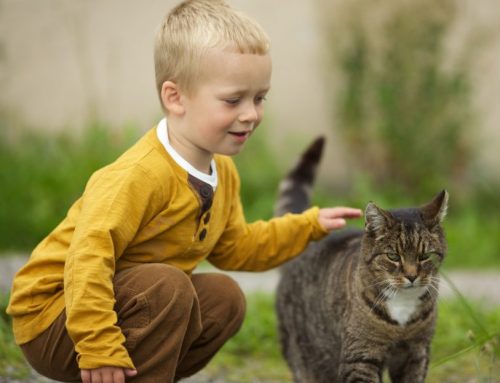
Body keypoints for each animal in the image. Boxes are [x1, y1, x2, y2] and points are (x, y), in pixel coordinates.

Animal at [276, 136, 448, 382]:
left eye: (425, 255)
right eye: (393, 256)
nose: (412, 276)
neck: (403, 306)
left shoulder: (416, 353)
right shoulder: (361, 356)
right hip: (307, 357)